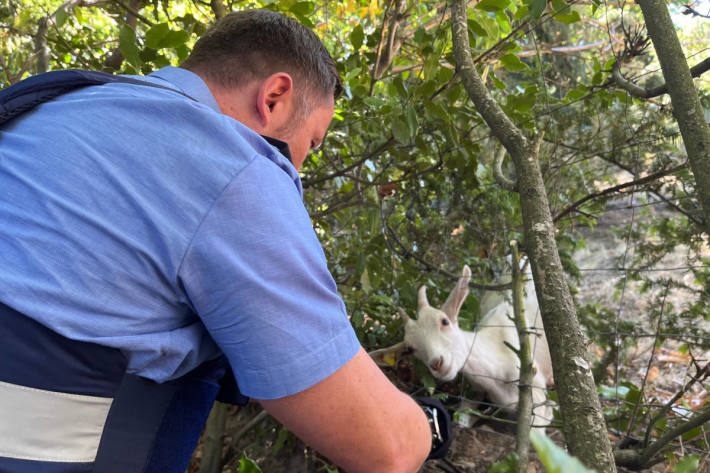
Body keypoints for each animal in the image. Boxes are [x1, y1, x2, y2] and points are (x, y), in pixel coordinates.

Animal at [372, 264, 556, 430]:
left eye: (444, 321)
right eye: (410, 349)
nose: (437, 364)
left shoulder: (537, 398)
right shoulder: (477, 390)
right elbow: (461, 417)